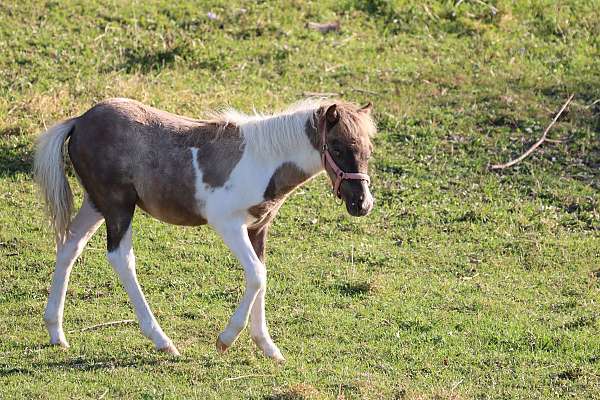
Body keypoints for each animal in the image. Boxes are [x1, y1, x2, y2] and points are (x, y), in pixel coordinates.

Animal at [34, 97, 376, 362]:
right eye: (336, 147)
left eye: (368, 150)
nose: (362, 203)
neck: (265, 160)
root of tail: (80, 121)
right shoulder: (228, 223)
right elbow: (256, 275)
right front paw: (226, 339)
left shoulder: (259, 228)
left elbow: (262, 276)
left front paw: (268, 347)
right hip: (118, 205)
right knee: (121, 257)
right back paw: (163, 341)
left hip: (96, 203)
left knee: (69, 245)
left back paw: (56, 331)